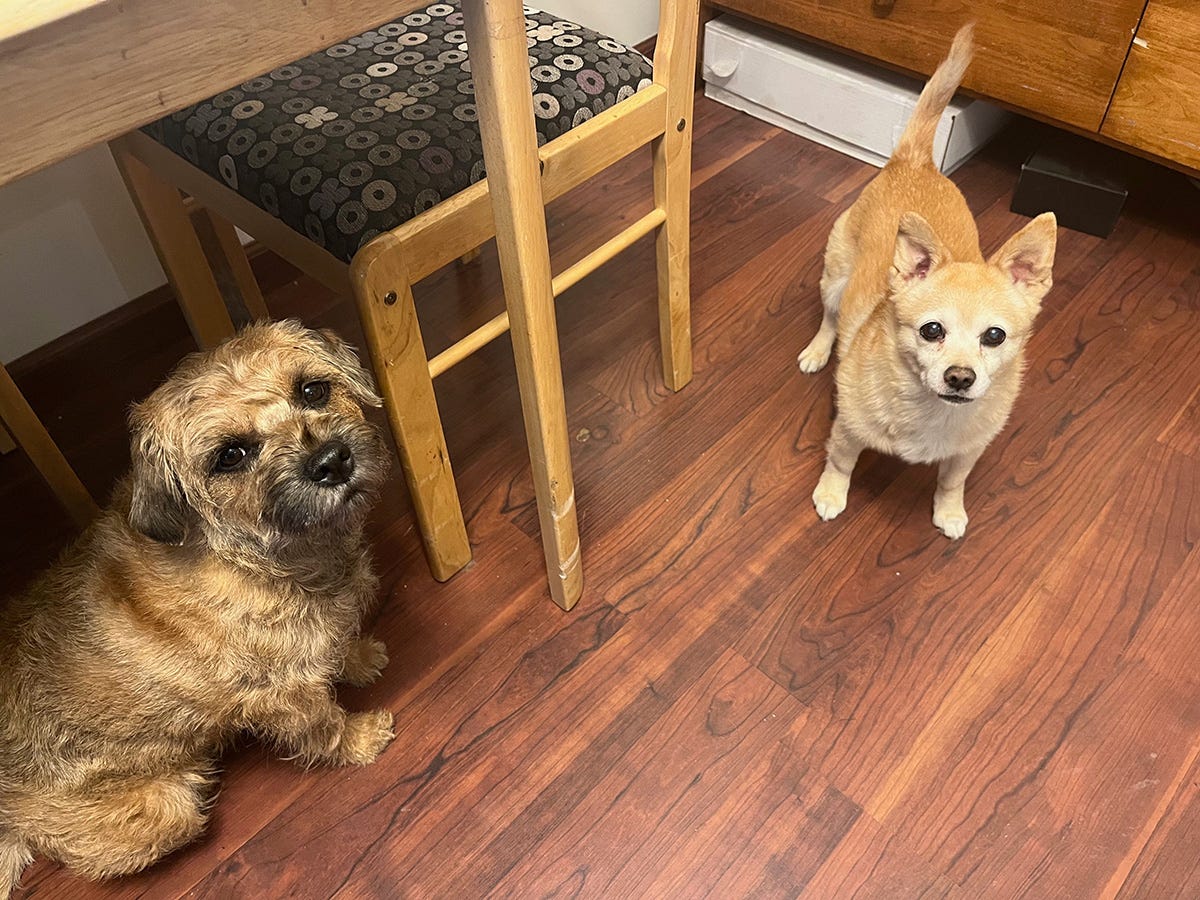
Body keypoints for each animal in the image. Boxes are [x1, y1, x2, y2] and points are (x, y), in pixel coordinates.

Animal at [0, 321, 393, 897]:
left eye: (313, 390)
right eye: (230, 455)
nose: (331, 461)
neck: (256, 554)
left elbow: (338, 650)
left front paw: (360, 658)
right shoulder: (286, 697)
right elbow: (326, 725)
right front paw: (361, 740)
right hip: (168, 810)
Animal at [801, 24, 1056, 540]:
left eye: (995, 336)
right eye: (931, 330)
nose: (960, 377)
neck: (932, 409)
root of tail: (916, 163)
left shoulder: (967, 453)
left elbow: (952, 480)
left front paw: (950, 512)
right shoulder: (848, 431)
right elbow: (840, 462)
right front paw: (831, 496)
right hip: (835, 278)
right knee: (831, 318)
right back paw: (818, 352)